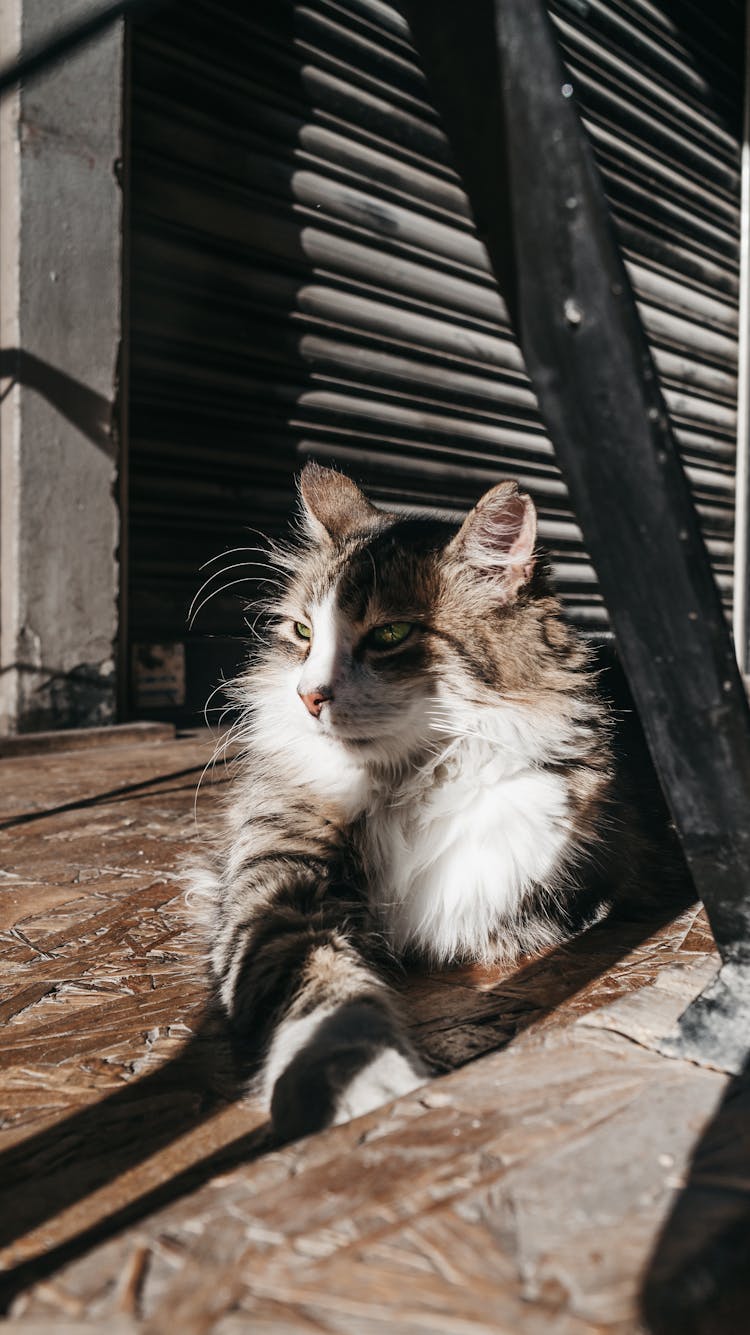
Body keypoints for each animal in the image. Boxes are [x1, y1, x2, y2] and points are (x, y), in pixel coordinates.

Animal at [190, 464, 629, 1142]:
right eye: (303, 632)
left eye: (390, 634)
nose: (307, 697)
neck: (406, 780)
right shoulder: (277, 887)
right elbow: (325, 991)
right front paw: (360, 1080)